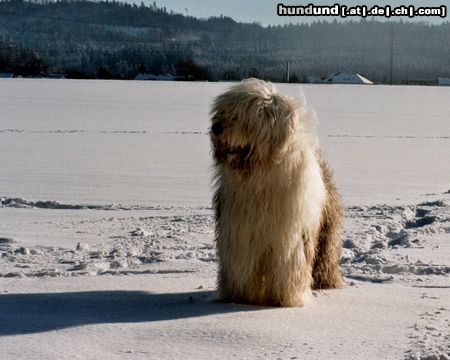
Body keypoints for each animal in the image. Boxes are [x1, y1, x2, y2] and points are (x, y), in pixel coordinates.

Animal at [209, 79, 342, 306]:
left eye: (240, 115)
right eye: (222, 111)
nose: (216, 127)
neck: (260, 173)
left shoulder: (290, 234)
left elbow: (289, 265)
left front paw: (287, 298)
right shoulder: (240, 231)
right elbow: (242, 262)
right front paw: (241, 296)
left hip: (326, 232)